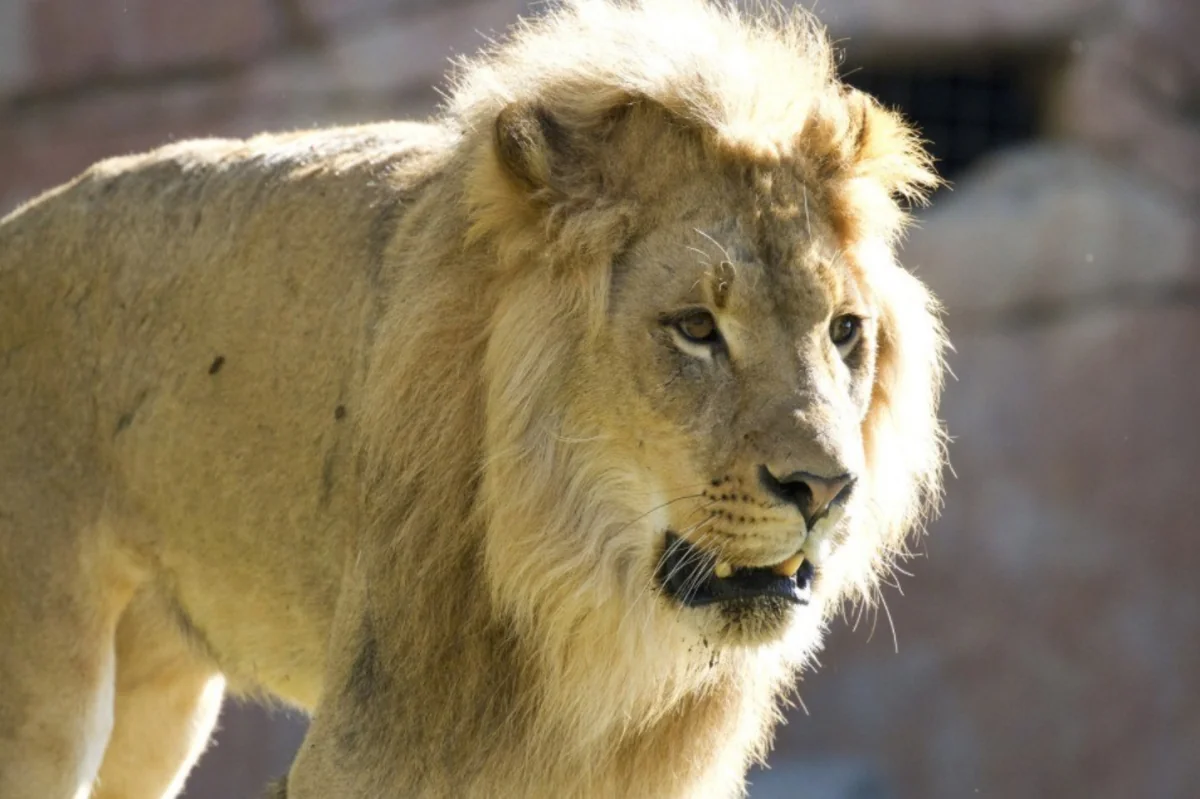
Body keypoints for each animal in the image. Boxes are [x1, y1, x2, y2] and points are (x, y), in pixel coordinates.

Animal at [0, 1, 945, 797]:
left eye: (844, 331)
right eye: (694, 328)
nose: (825, 490)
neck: (587, 612)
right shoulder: (373, 742)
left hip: (157, 702)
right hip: (47, 695)